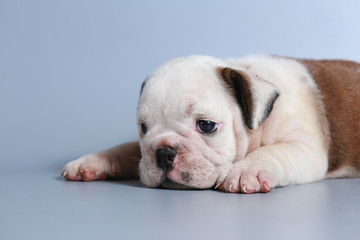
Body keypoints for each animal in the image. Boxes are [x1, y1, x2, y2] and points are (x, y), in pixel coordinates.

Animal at [62, 55, 360, 193]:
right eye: (143, 128)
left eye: (206, 126)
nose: (163, 153)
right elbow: (127, 149)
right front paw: (94, 161)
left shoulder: (305, 146)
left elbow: (273, 151)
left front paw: (246, 170)